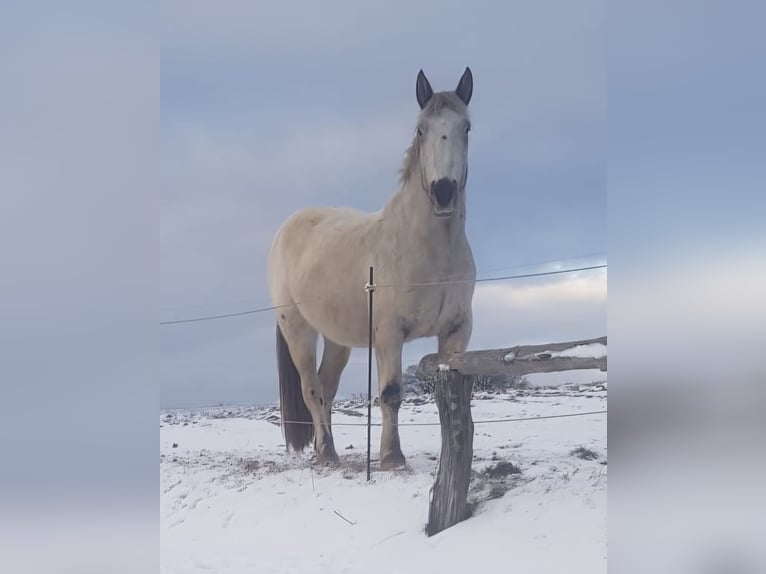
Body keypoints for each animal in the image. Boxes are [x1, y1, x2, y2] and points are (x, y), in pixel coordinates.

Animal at [268, 67, 477, 469]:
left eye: (467, 127)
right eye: (421, 129)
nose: (443, 192)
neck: (433, 251)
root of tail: (286, 228)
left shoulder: (457, 331)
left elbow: (450, 393)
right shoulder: (389, 334)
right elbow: (391, 393)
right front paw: (392, 458)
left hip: (337, 339)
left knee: (327, 388)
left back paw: (327, 450)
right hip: (299, 330)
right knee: (311, 389)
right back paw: (327, 454)